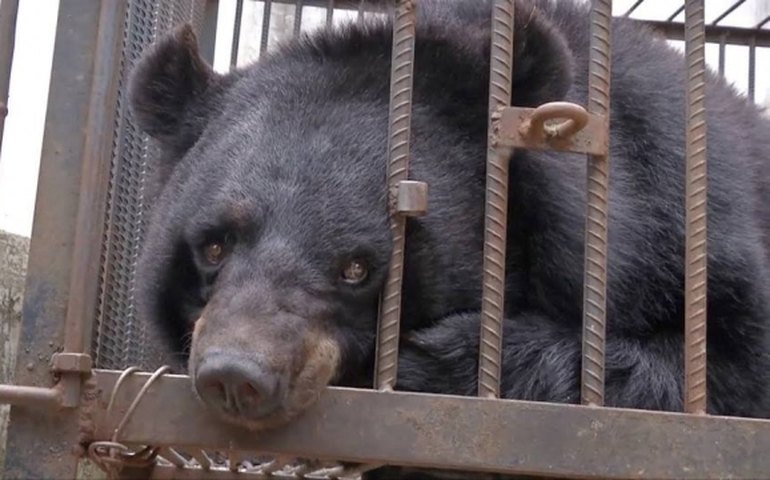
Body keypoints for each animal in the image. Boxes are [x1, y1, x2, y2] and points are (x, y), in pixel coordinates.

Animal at [128, 0, 770, 452]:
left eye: (357, 267)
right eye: (213, 246)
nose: (236, 376)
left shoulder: (675, 217)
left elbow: (729, 368)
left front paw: (436, 362)